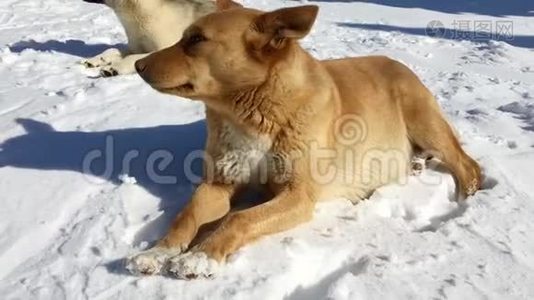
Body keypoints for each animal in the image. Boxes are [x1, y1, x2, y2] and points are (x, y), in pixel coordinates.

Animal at [80, 0, 240, 77]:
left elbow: (133, 58)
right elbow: (113, 50)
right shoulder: (135, 46)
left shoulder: (165, 48)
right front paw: (96, 60)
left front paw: (114, 68)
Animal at [127, 4, 484, 278]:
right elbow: (186, 215)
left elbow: (238, 217)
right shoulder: (219, 182)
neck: (251, 113)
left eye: (197, 39)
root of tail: (397, 63)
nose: (137, 64)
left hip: (423, 121)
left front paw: (201, 256)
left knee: (468, 165)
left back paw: (466, 196)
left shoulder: (298, 195)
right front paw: (160, 251)